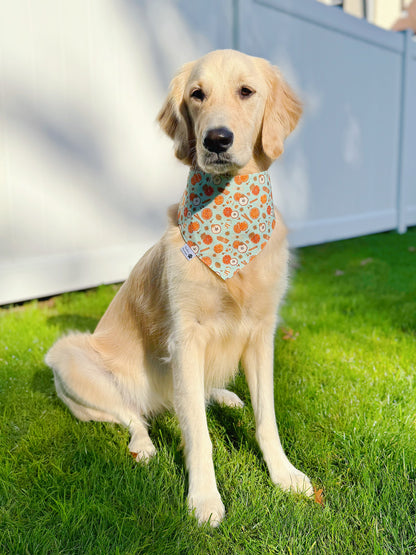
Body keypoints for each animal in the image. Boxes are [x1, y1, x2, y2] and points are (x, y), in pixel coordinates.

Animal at [45, 47, 312, 524]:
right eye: (197, 95)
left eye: (246, 92)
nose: (216, 140)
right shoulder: (186, 337)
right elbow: (199, 437)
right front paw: (204, 499)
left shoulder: (262, 332)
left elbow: (267, 419)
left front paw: (284, 474)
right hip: (69, 359)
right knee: (132, 415)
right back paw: (144, 445)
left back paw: (224, 396)